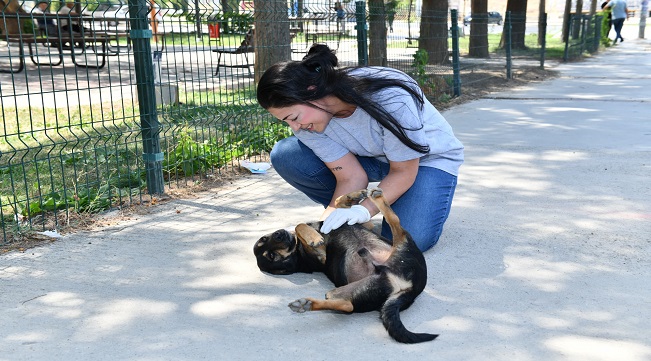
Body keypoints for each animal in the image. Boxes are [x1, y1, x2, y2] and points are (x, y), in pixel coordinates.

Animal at [253, 187, 438, 342]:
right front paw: (314, 237)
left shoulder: (365, 223)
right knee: (348, 306)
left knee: (396, 223)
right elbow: (300, 225)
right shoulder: (321, 255)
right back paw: (306, 304)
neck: (297, 251)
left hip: (402, 249)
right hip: (353, 291)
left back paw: (377, 197)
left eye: (264, 238)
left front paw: (352, 197)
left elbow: (337, 205)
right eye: (272, 256)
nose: (279, 234)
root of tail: (409, 290)